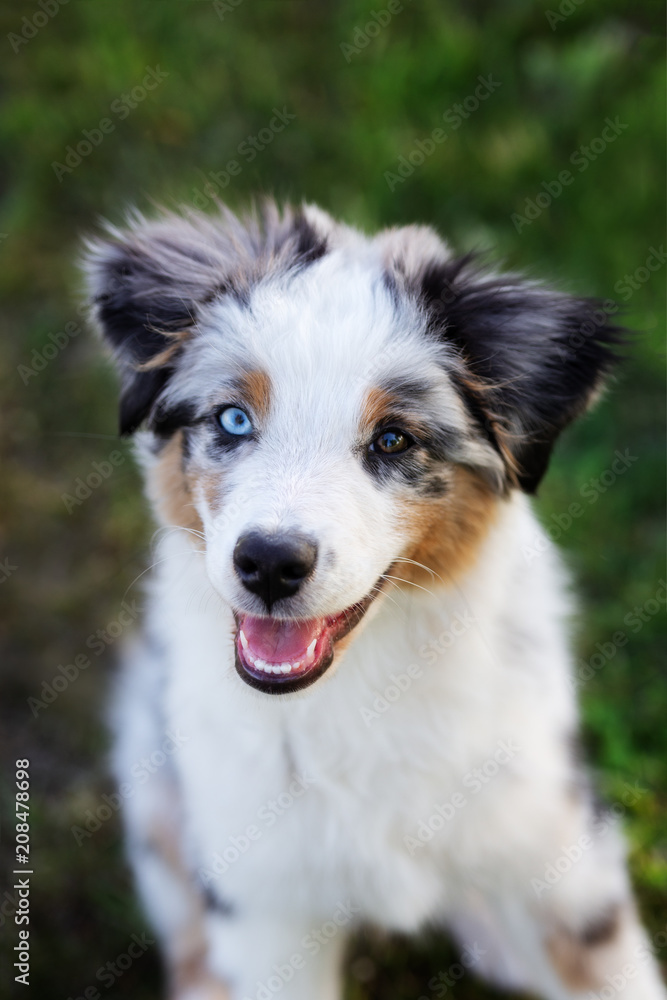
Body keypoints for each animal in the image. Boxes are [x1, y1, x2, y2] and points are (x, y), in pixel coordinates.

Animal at [82, 203, 664, 1000]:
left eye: (393, 440)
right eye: (233, 419)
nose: (269, 562)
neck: (362, 687)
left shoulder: (563, 864)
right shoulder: (263, 901)